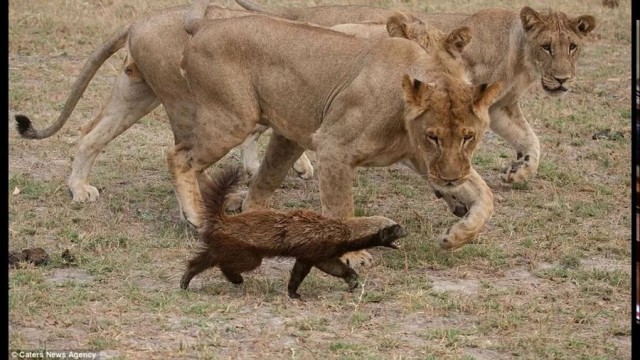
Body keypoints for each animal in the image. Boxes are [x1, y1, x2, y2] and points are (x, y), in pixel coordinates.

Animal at [172, 4, 502, 256]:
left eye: (469, 137)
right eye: (433, 137)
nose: (450, 180)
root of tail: (205, 24)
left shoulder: (426, 160)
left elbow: (484, 193)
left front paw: (458, 236)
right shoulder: (333, 147)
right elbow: (341, 210)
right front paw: (353, 257)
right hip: (233, 120)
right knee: (179, 157)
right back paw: (195, 216)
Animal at [238, 0, 596, 184]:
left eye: (572, 46)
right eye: (547, 46)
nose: (562, 80)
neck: (520, 57)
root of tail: (301, 14)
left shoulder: (499, 108)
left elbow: (530, 140)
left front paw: (520, 171)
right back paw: (292, 166)